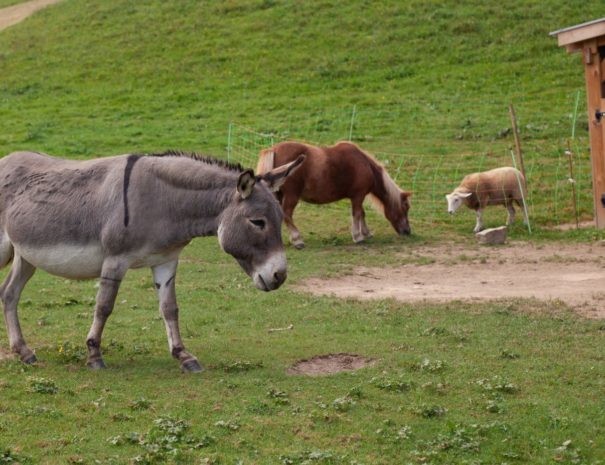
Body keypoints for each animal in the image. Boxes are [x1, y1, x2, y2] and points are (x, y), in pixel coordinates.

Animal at [255, 140, 410, 248]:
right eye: (406, 208)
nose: (407, 231)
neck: (364, 164)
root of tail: (273, 149)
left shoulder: (357, 197)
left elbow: (361, 214)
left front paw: (367, 233)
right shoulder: (358, 196)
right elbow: (357, 214)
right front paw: (358, 237)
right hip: (292, 196)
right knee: (287, 214)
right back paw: (297, 240)